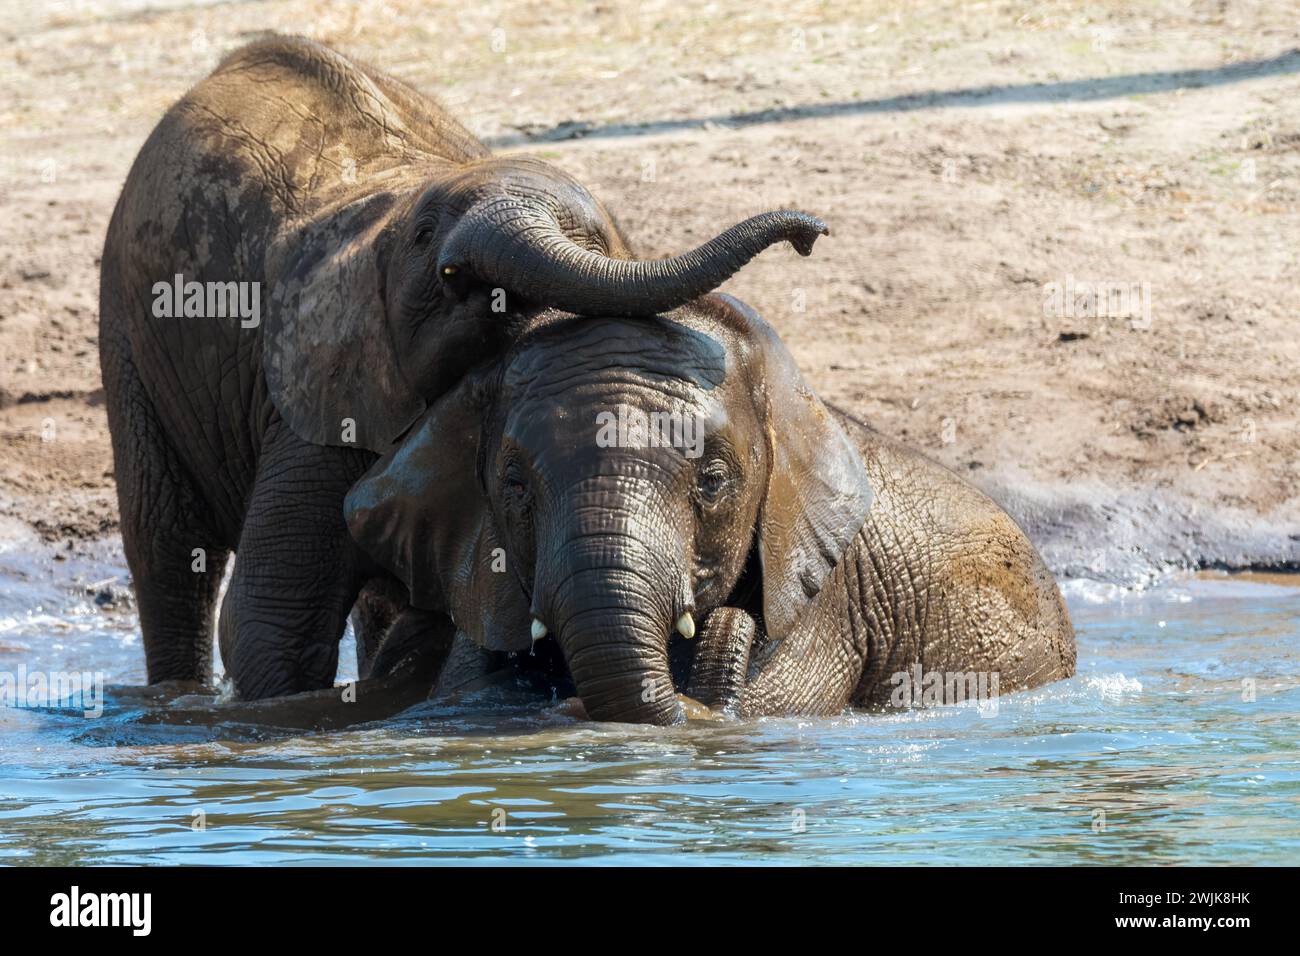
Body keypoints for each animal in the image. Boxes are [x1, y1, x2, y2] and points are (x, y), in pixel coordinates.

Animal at [104, 35, 832, 697]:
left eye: (592, 240)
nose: (810, 234)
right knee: (170, 547)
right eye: (426, 238)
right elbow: (271, 620)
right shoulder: (319, 394)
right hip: (128, 328)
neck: (393, 202)